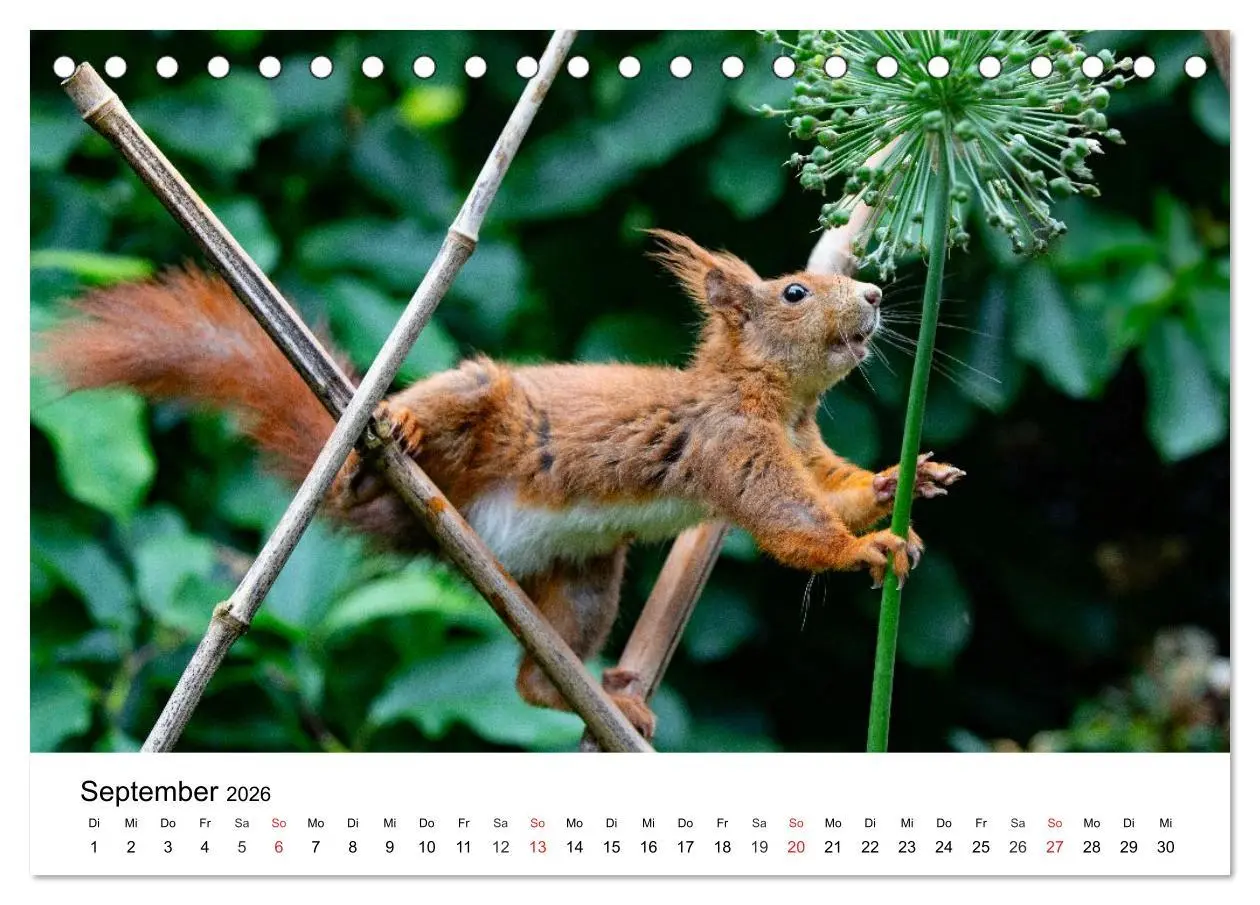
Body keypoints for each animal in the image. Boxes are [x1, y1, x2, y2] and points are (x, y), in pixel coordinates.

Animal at [39, 229, 964, 739]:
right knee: (430, 415)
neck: (774, 397)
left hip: (588, 576)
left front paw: (902, 483)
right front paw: (863, 549)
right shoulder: (732, 443)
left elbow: (833, 489)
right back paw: (385, 433)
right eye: (795, 290)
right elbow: (788, 519)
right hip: (472, 406)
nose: (874, 293)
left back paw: (602, 698)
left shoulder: (804, 445)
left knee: (529, 680)